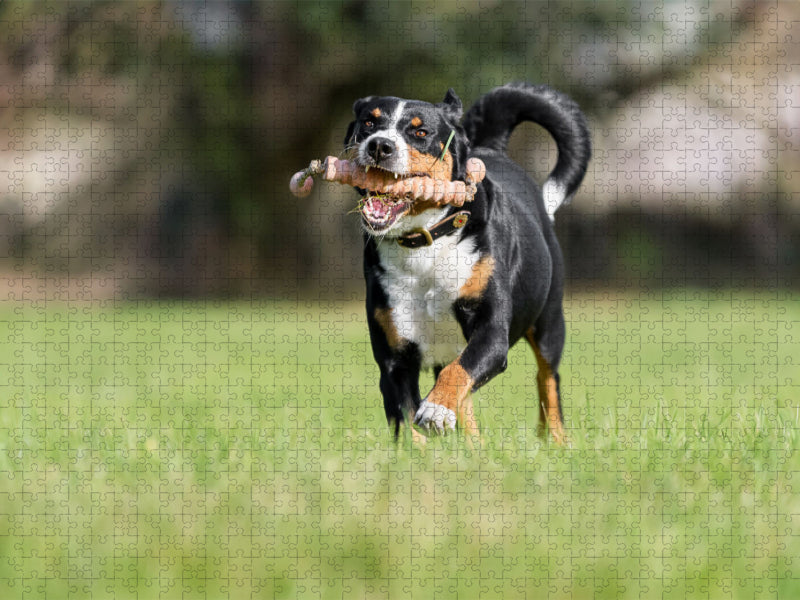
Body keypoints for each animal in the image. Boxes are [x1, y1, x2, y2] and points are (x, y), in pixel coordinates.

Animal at [340, 82, 592, 442]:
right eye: (369, 123)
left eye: (420, 132)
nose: (379, 145)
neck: (425, 244)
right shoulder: (394, 358)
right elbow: (409, 423)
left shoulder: (491, 332)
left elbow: (458, 372)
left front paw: (435, 408)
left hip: (549, 320)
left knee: (547, 379)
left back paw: (555, 440)